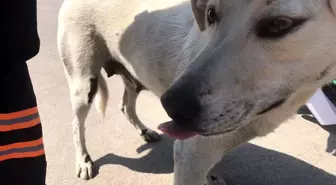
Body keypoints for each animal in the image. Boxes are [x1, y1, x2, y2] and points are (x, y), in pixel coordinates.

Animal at [57, 0, 336, 184]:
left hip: (133, 77)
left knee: (126, 105)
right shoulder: (189, 156)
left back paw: (145, 131)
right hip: (84, 83)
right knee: (76, 124)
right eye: (211, 14)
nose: (171, 106)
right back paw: (83, 160)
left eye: (280, 24)